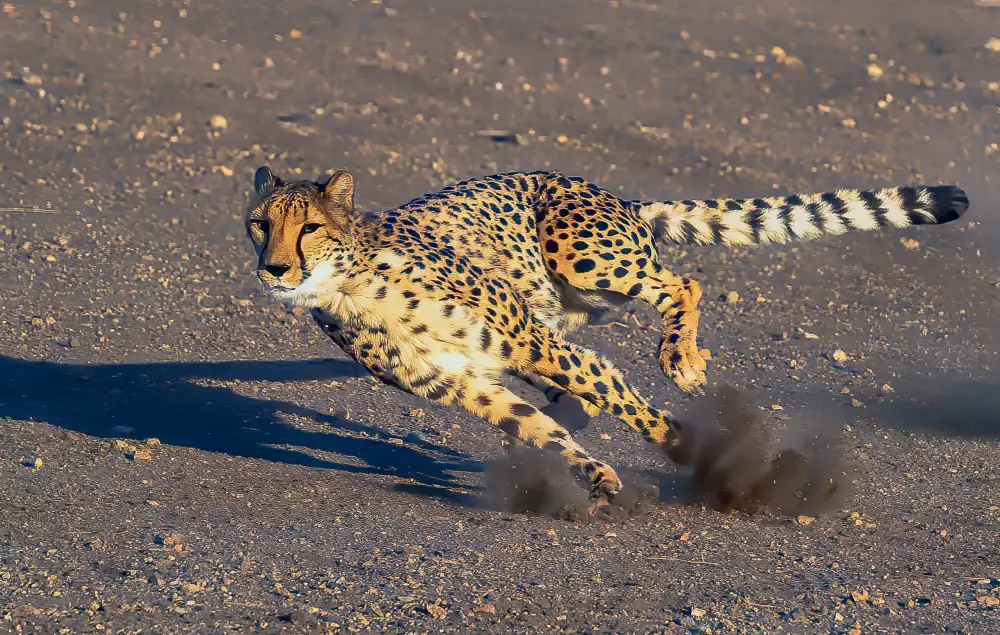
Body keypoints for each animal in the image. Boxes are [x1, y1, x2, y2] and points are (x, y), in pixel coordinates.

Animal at [244, 165, 968, 512]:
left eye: (308, 227)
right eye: (259, 223)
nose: (273, 268)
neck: (352, 285)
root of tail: (612, 193)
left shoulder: (529, 340)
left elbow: (623, 399)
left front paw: (698, 451)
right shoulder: (469, 384)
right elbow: (536, 425)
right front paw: (593, 476)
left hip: (584, 262)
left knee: (678, 284)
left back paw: (681, 358)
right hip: (572, 306)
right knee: (580, 385)